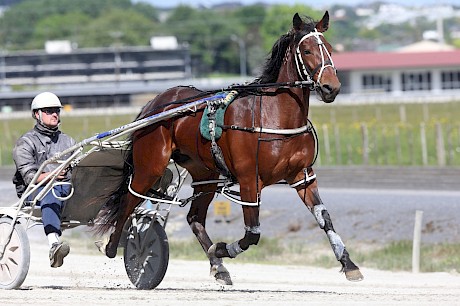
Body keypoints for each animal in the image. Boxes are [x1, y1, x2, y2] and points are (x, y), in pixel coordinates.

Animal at [96, 11, 362, 284]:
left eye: (329, 48)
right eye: (307, 50)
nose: (331, 87)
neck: (274, 116)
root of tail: (153, 104)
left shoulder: (302, 176)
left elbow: (324, 217)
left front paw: (349, 263)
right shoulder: (248, 179)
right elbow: (253, 233)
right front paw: (222, 248)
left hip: (206, 175)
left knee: (194, 218)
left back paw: (218, 266)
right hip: (150, 165)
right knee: (128, 201)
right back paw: (114, 246)